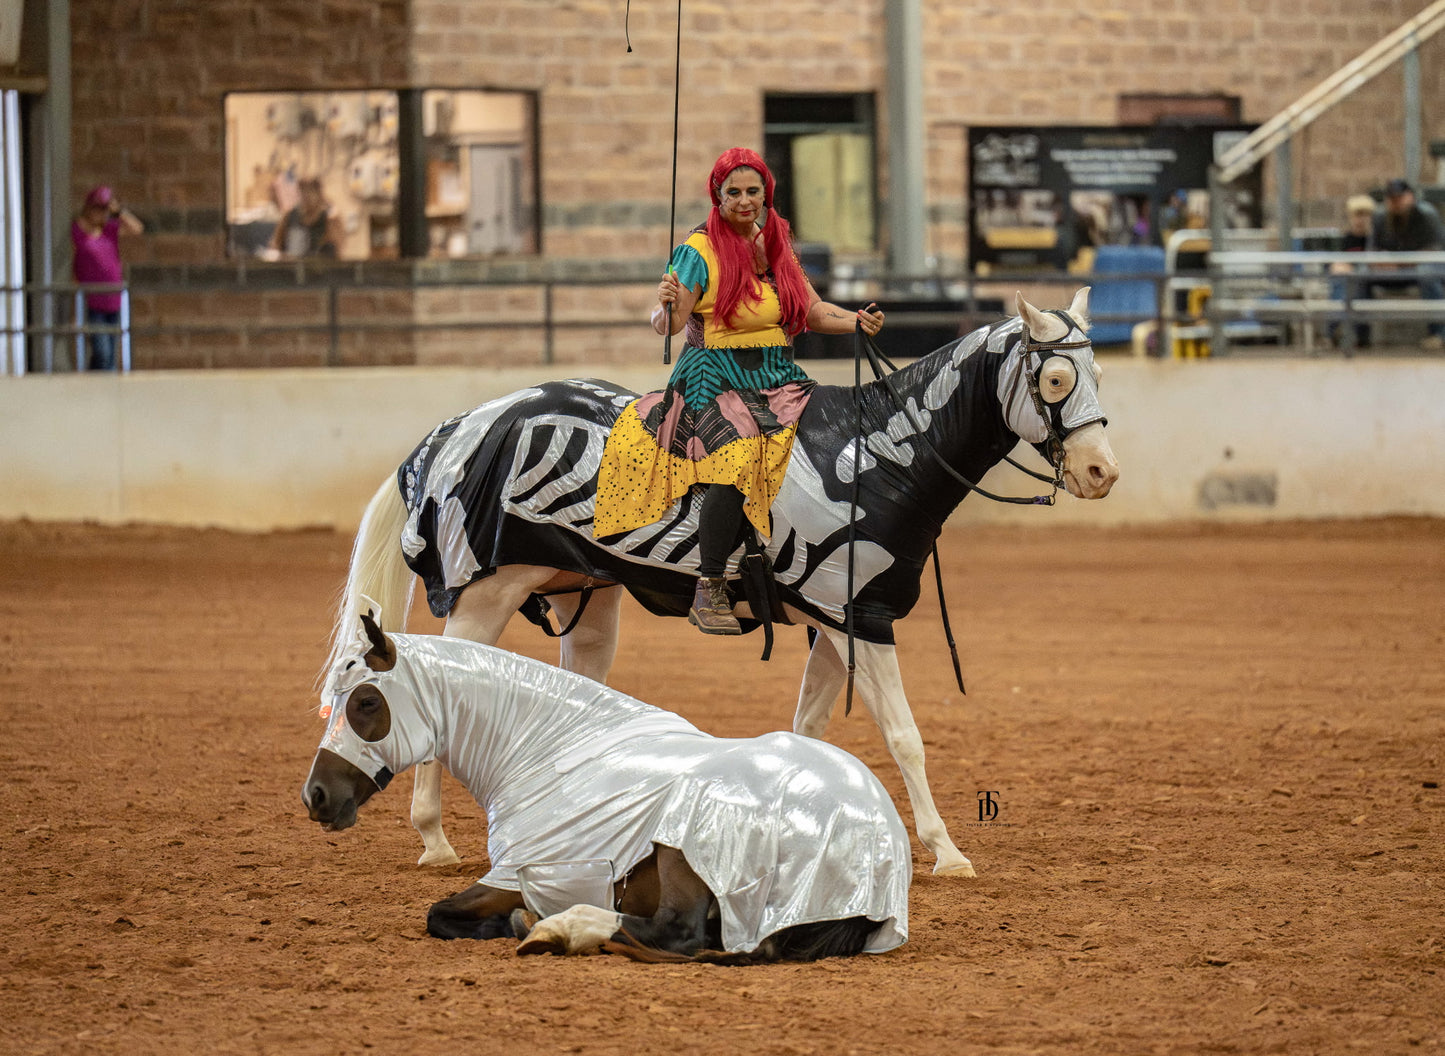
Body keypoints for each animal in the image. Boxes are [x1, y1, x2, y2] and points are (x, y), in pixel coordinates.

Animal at [302, 608, 910, 963]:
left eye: (366, 701)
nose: (316, 797)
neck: (547, 753)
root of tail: (878, 840)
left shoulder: (511, 876)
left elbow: (440, 914)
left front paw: (525, 921)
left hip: (682, 846)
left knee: (677, 932)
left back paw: (563, 929)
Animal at [323, 289, 1119, 877]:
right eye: (1054, 379)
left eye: (1098, 375)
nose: (1101, 472)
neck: (869, 457)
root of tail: (460, 426)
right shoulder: (858, 619)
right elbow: (904, 736)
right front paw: (947, 852)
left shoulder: (830, 625)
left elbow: (807, 730)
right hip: (486, 594)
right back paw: (433, 838)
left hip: (587, 599)